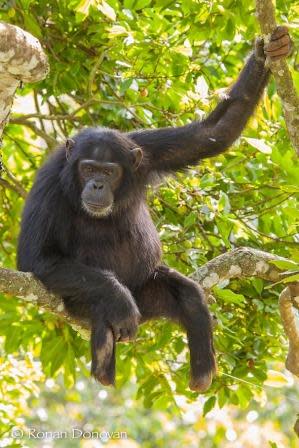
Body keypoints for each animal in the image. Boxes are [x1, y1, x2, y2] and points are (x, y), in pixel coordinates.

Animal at [17, 28, 292, 392]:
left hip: (148, 288)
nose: (97, 185)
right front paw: (117, 298)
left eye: (109, 172)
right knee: (99, 305)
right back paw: (105, 350)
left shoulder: (146, 150)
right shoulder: (47, 184)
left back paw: (201, 372)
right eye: (88, 169)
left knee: (188, 295)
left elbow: (212, 134)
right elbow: (37, 257)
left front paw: (268, 51)